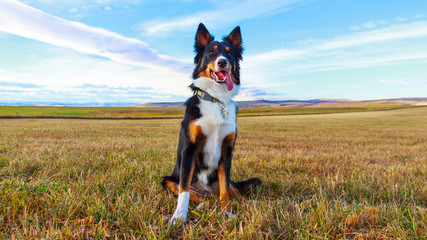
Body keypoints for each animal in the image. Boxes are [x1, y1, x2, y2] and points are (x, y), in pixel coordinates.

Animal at [161, 23, 260, 224]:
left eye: (229, 54)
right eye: (212, 53)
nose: (222, 62)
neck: (216, 99)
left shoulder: (227, 151)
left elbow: (225, 191)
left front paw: (227, 214)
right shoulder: (189, 149)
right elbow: (184, 190)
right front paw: (179, 216)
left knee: (232, 190)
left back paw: (248, 203)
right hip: (167, 180)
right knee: (197, 196)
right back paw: (201, 206)